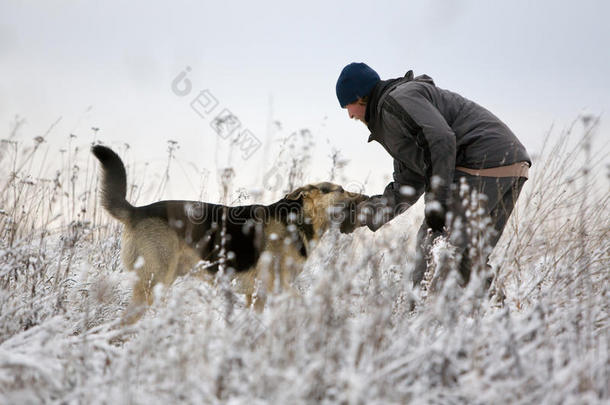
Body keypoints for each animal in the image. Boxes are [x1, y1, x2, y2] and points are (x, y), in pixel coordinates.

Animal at [90, 145, 366, 322]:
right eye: (341, 190)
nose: (365, 197)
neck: (297, 220)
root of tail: (137, 211)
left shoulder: (257, 294)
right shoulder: (278, 286)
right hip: (154, 282)